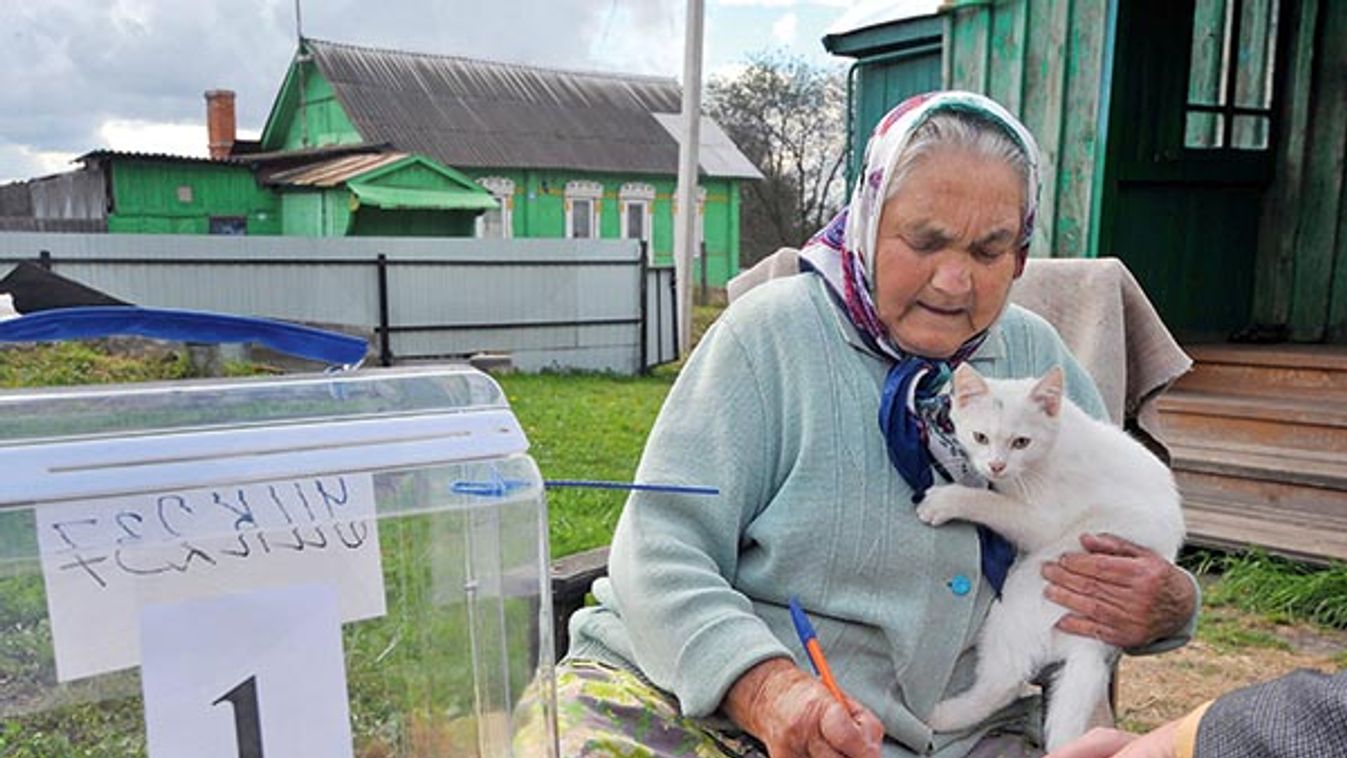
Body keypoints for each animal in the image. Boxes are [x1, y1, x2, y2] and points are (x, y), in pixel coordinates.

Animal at [910, 363, 1185, 748]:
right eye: (980, 437)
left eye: (1021, 442)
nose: (996, 466)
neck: (1051, 447)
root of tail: (1092, 642)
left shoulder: (1044, 521)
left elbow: (992, 503)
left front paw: (946, 502)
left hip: (1021, 595)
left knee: (1005, 682)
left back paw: (941, 715)